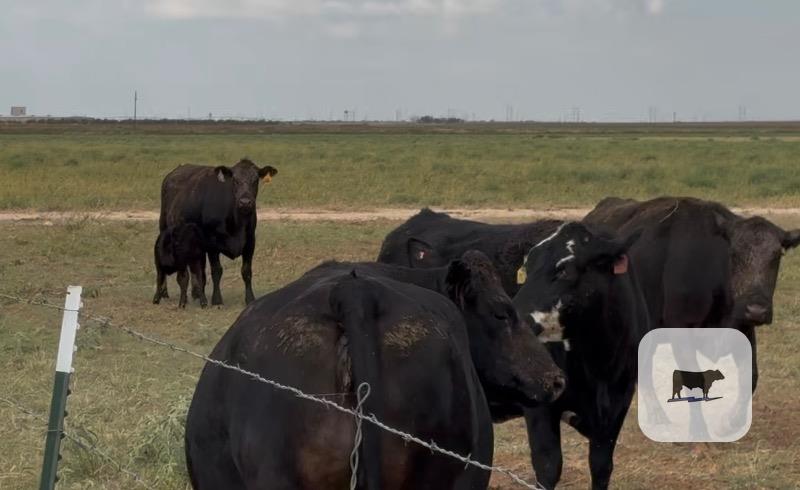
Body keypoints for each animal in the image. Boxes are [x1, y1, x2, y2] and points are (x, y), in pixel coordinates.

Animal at [159, 158, 277, 305]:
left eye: (255, 180)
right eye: (235, 180)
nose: (245, 202)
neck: (236, 223)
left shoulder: (250, 241)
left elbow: (246, 271)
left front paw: (250, 298)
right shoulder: (212, 242)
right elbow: (216, 270)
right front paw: (217, 300)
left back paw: (196, 293)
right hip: (164, 226)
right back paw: (164, 293)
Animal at [511, 222, 648, 490]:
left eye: (564, 269)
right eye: (527, 268)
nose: (514, 314)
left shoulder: (619, 401)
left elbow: (601, 465)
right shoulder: (539, 404)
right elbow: (548, 465)